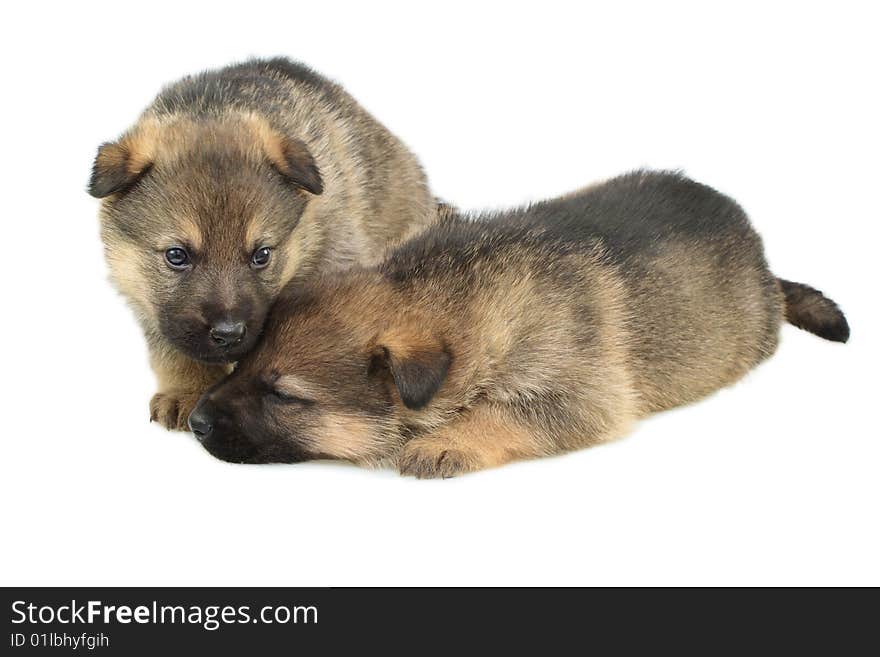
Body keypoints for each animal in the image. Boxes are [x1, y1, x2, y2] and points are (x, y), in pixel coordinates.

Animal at [87, 57, 438, 430]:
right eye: (176, 255)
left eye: (262, 255)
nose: (228, 333)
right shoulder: (150, 304)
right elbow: (174, 350)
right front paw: (188, 390)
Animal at [189, 169, 848, 476]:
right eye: (241, 363)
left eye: (283, 395)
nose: (194, 422)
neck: (452, 293)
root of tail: (764, 263)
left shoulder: (584, 395)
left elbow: (504, 412)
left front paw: (448, 440)